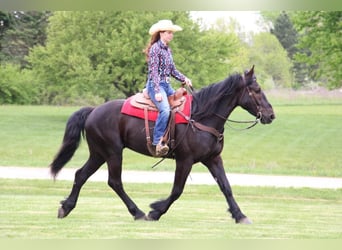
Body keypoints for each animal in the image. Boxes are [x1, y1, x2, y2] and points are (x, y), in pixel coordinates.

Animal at [50, 65, 276, 224]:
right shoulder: (185, 160)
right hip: (113, 153)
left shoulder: (213, 159)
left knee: (81, 175)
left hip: (98, 154)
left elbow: (226, 187)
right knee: (115, 182)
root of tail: (93, 110)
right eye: (256, 90)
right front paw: (155, 211)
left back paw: (66, 207)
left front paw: (240, 215)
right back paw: (138, 212)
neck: (202, 116)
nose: (271, 115)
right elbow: (177, 190)